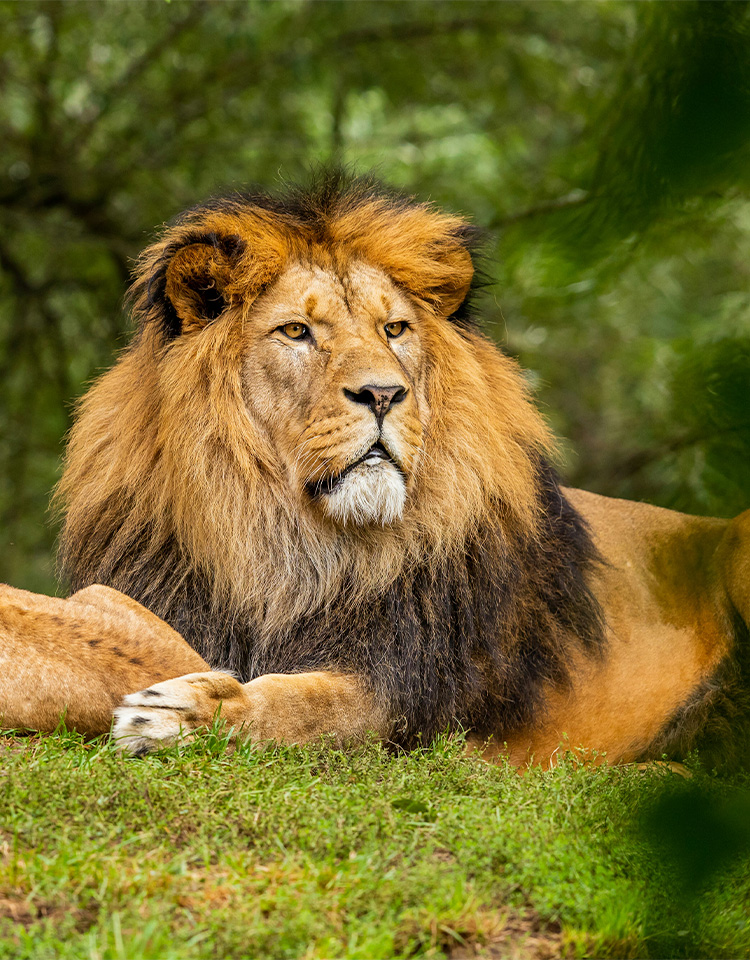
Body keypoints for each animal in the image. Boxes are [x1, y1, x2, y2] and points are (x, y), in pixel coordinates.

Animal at [1, 173, 748, 769]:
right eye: (297, 332)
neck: (289, 545)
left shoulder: (405, 688)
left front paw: (186, 713)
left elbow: (302, 706)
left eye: (395, 330)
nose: (385, 394)